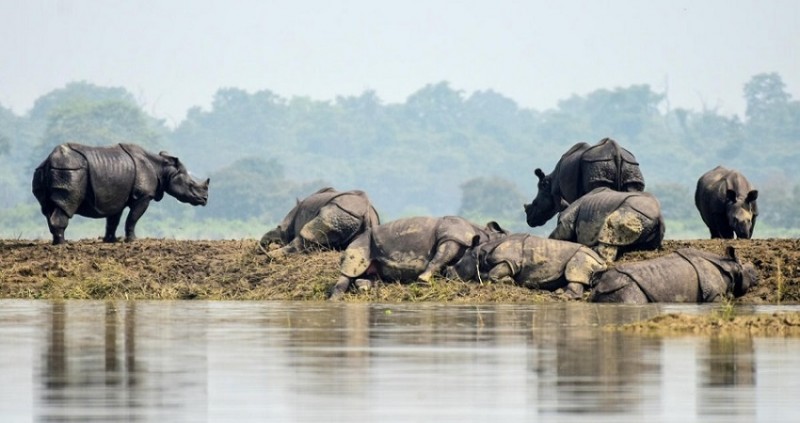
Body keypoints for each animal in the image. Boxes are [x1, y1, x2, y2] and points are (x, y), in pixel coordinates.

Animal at [31, 143, 209, 245]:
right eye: (191, 185)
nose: (205, 199)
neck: (163, 169)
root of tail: (49, 160)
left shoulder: (116, 197)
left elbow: (113, 220)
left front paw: (110, 241)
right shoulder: (143, 196)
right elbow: (133, 218)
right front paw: (133, 241)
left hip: (44, 171)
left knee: (48, 208)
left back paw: (57, 242)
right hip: (70, 171)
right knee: (66, 204)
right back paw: (63, 244)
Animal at [330, 217, 506, 300]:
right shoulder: (451, 237)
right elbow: (440, 257)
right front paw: (424, 280)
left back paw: (364, 287)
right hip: (362, 241)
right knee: (351, 269)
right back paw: (335, 298)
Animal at [450, 235, 608, 298]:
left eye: (458, 265)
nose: (448, 275)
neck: (480, 253)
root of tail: (603, 262)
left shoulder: (509, 261)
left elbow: (493, 273)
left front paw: (509, 281)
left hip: (583, 256)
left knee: (574, 270)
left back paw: (562, 297)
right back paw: (558, 292)